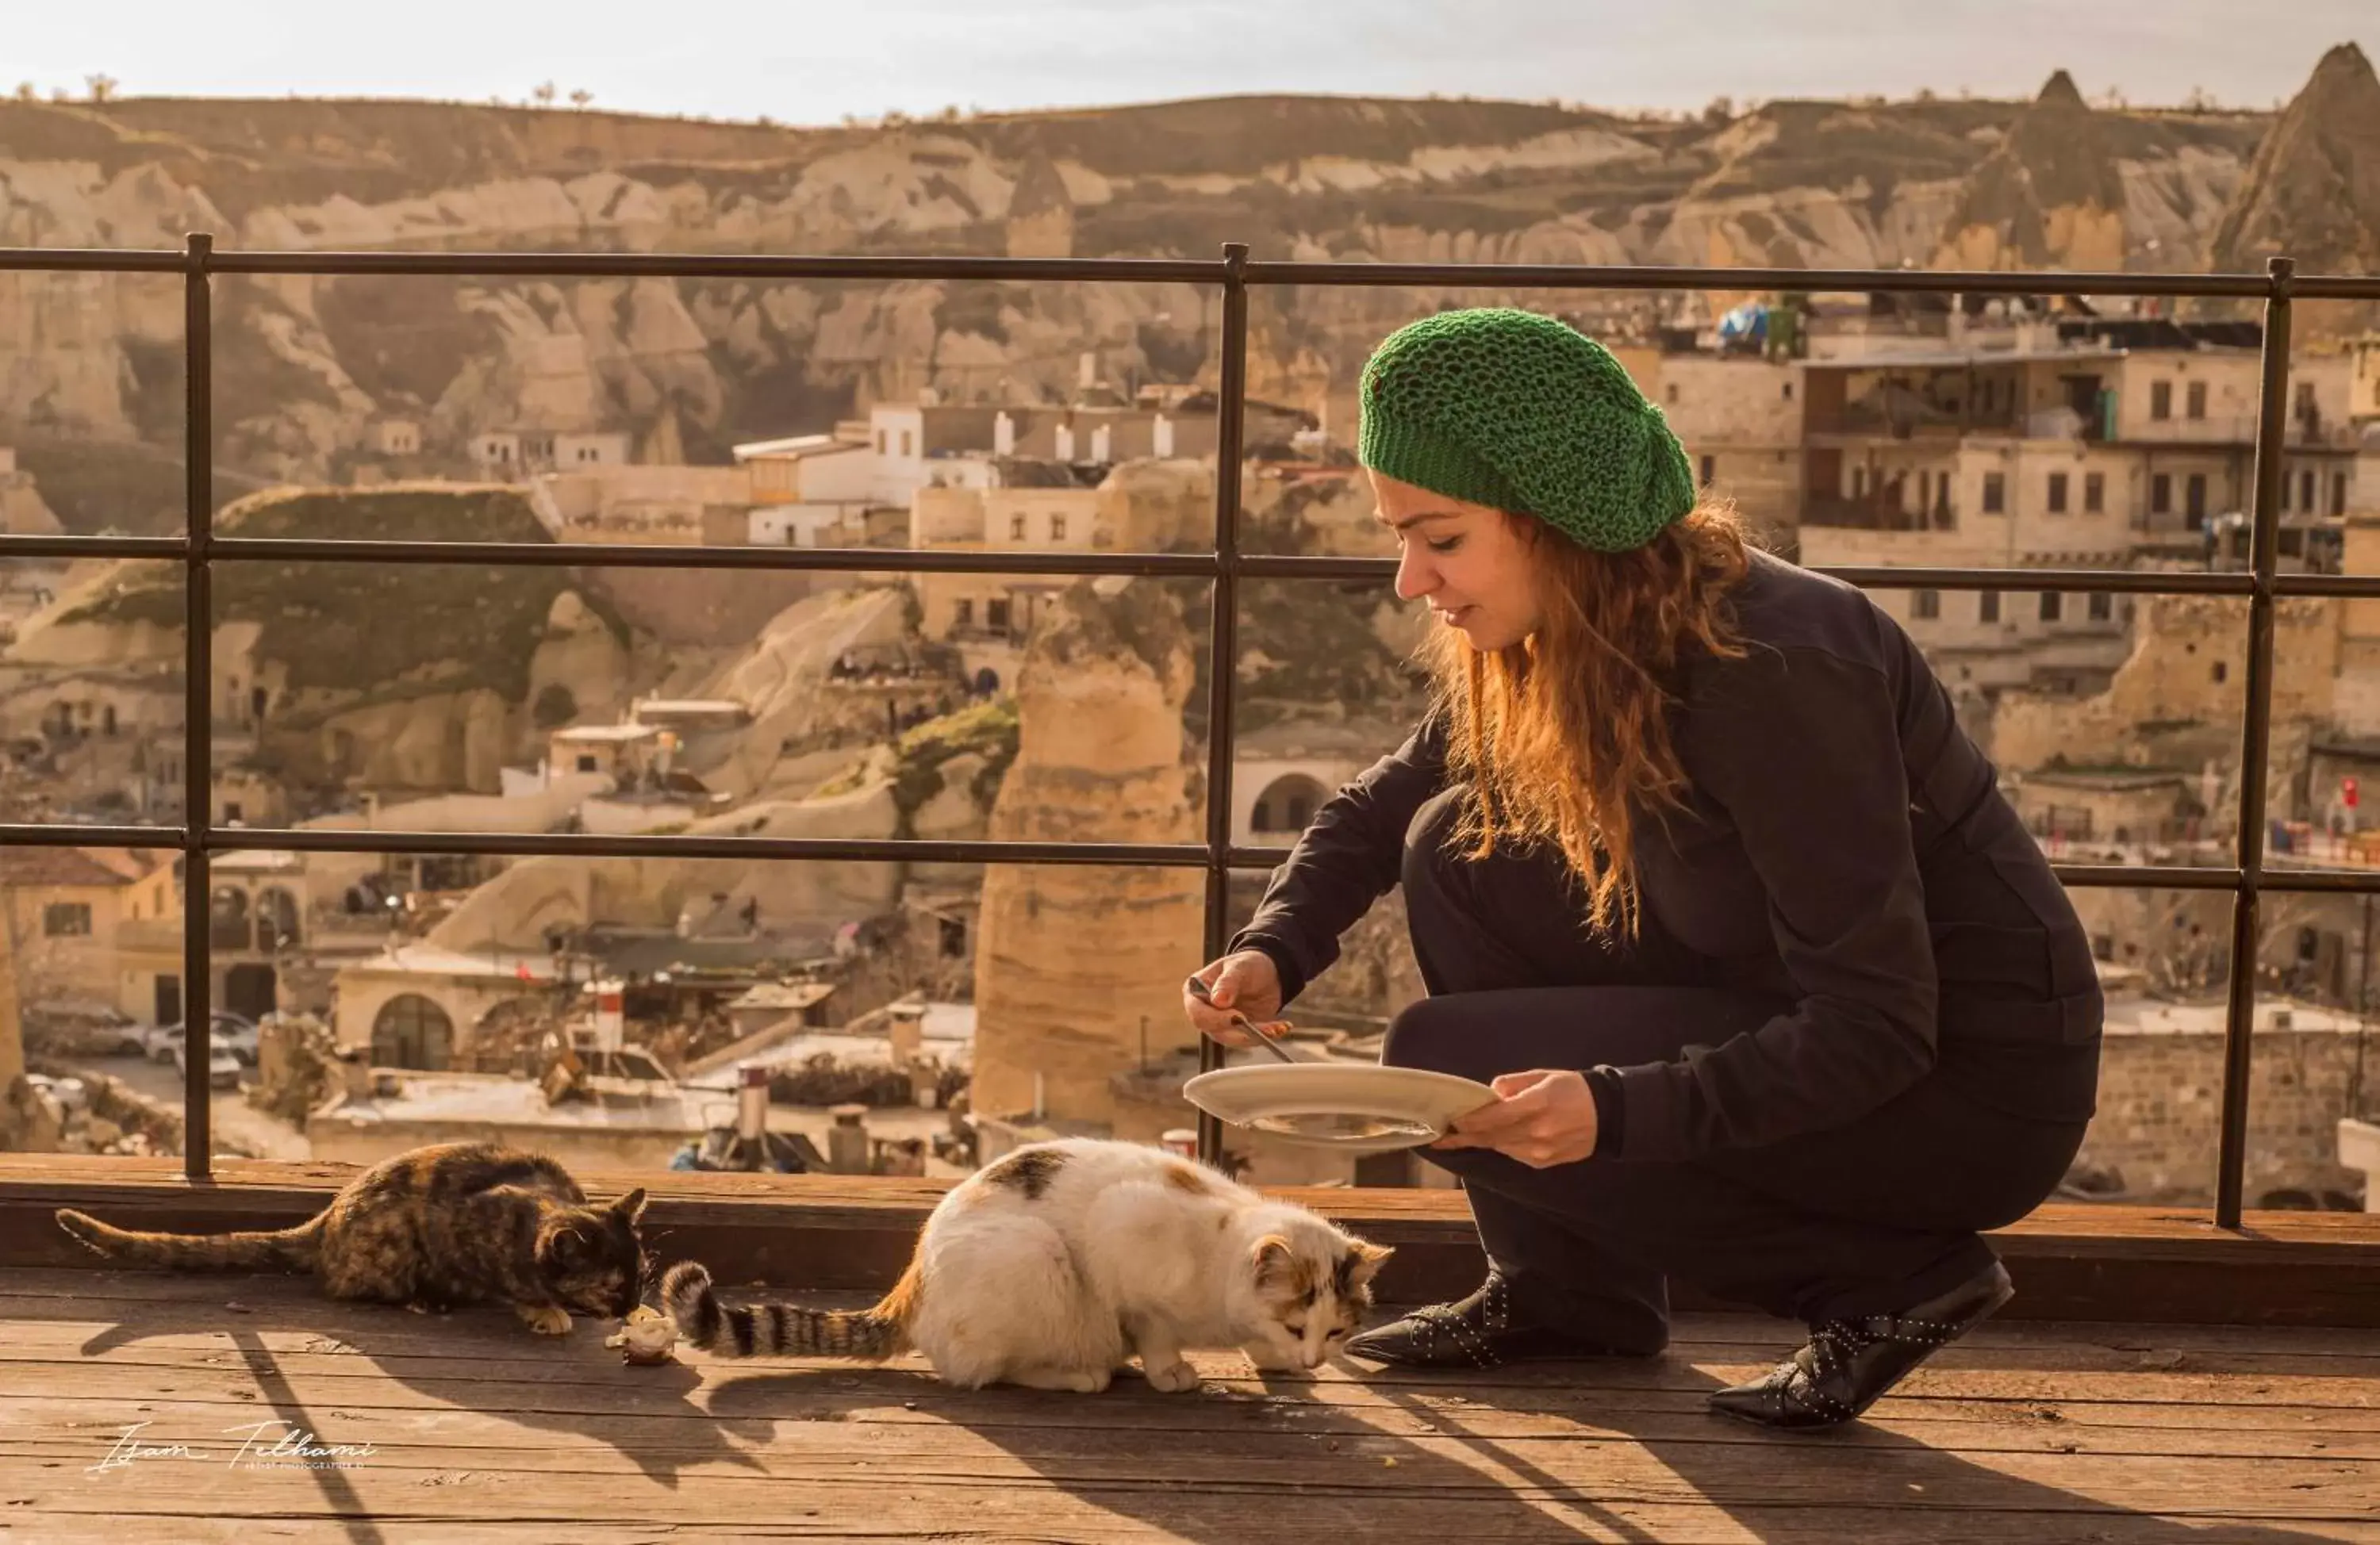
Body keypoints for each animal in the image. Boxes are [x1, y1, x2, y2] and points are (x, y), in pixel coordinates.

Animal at [56, 1137, 647, 1332]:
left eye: (640, 1276)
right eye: (610, 1285)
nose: (628, 1307)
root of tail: (328, 1216)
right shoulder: (466, 1228)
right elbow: (518, 1285)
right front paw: (545, 1308)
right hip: (392, 1245)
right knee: (348, 1288)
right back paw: (423, 1300)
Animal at [662, 1133, 1390, 1390]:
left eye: (1335, 1331)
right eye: (1298, 1324)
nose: (1312, 1361)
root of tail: (912, 1280)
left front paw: (1270, 1362)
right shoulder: (1127, 1245)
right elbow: (1156, 1331)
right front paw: (1172, 1372)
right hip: (1038, 1259)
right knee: (986, 1373)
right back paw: (1084, 1374)